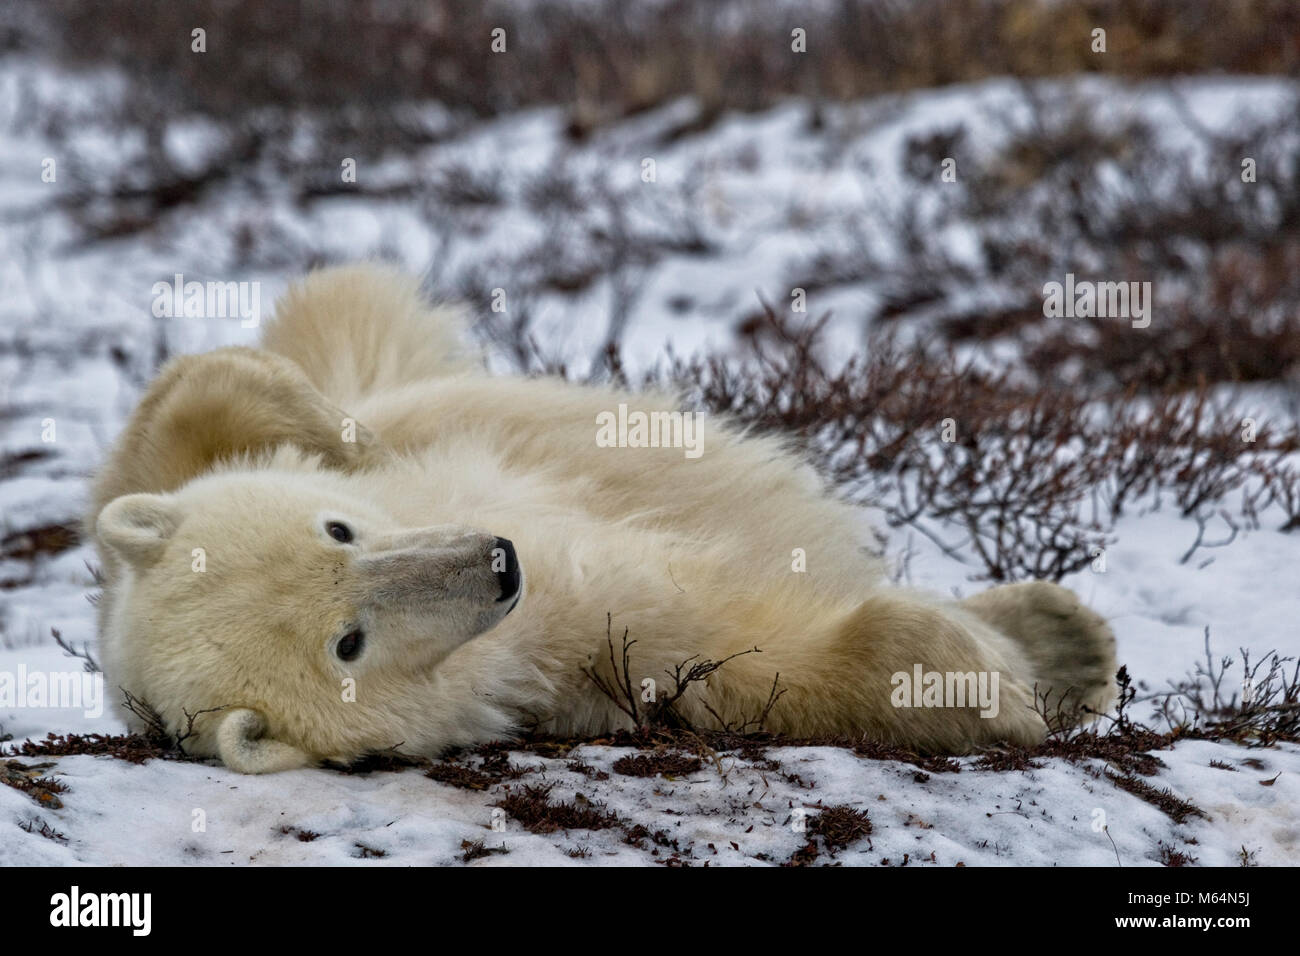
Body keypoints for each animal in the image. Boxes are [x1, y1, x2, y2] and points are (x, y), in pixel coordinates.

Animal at [86, 265, 1118, 775]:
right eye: (350, 643)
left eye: (337, 530)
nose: (499, 562)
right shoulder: (570, 660)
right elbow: (733, 658)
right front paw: (1005, 691)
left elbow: (177, 418)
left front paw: (338, 433)